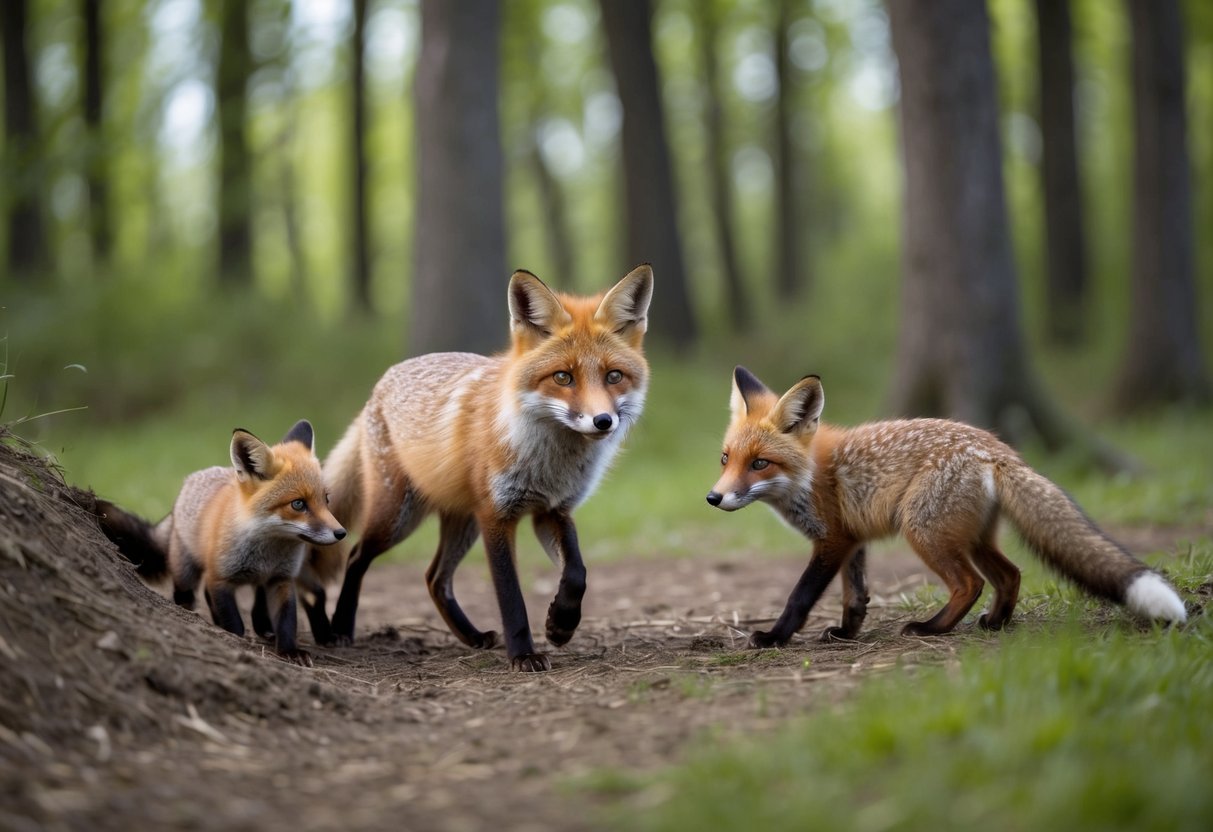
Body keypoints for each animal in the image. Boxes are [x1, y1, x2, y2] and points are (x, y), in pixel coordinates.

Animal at [95, 420, 347, 665]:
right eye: (298, 504)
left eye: (326, 500)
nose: (341, 533)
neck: (267, 551)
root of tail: (189, 481)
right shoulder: (220, 577)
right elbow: (233, 620)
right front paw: (235, 638)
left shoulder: (281, 579)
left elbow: (287, 619)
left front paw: (289, 651)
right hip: (186, 569)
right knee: (188, 593)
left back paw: (264, 628)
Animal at [315, 265, 653, 671]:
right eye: (563, 377)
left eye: (614, 376)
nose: (603, 421)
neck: (548, 463)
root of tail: (380, 385)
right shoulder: (497, 515)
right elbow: (511, 596)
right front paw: (524, 654)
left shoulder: (552, 510)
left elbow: (576, 573)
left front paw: (561, 625)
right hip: (398, 517)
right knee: (356, 555)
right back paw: (341, 627)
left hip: (463, 522)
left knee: (434, 578)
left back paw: (472, 636)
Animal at [707, 366, 1187, 647]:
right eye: (726, 459)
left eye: (760, 463)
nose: (714, 497)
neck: (808, 476)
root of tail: (998, 449)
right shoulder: (853, 541)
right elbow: (855, 596)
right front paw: (845, 633)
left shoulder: (832, 541)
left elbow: (800, 596)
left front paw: (773, 637)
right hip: (970, 537)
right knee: (1010, 574)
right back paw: (996, 623)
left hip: (924, 531)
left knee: (969, 584)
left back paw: (931, 628)